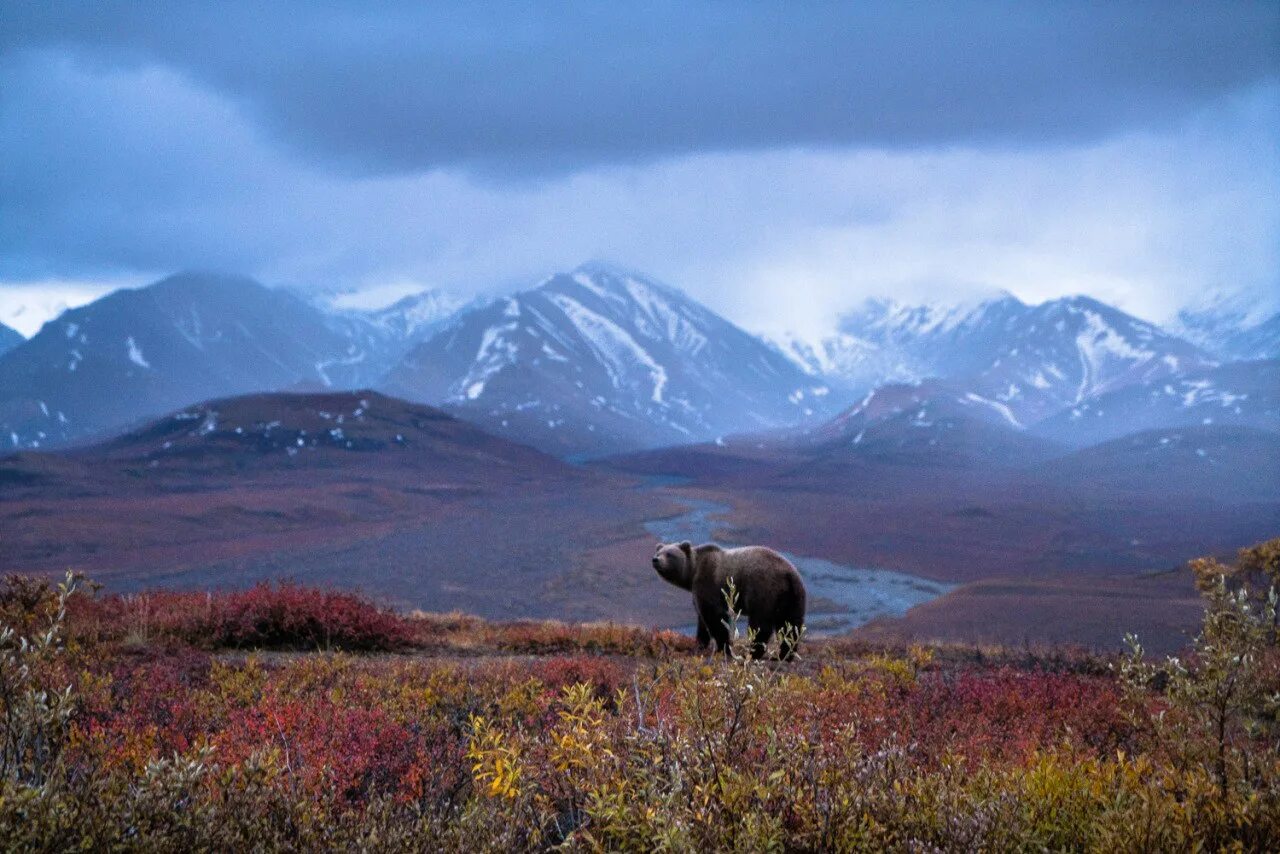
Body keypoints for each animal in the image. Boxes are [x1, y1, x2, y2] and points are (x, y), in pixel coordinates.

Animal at [655, 540, 803, 660]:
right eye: (659, 551)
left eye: (669, 554)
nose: (655, 559)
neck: (692, 573)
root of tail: (787, 573)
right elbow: (702, 619)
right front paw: (699, 644)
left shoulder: (709, 583)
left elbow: (715, 617)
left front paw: (723, 648)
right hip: (792, 595)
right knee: (791, 625)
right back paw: (784, 655)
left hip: (763, 588)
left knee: (760, 624)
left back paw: (753, 652)